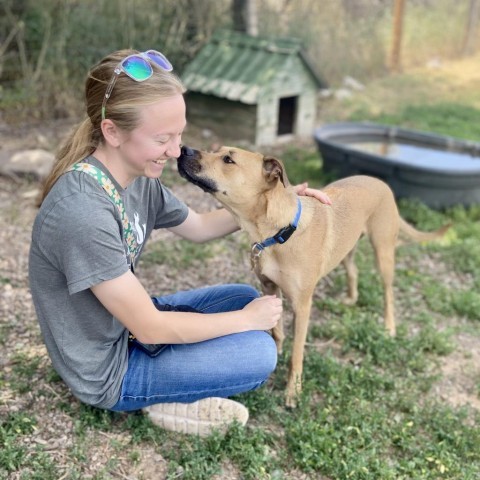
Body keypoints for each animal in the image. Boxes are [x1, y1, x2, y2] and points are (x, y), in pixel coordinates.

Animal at [177, 147, 450, 408]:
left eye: (228, 159)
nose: (184, 149)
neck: (277, 232)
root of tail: (380, 182)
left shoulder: (302, 306)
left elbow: (297, 354)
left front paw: (293, 392)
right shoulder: (269, 288)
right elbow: (277, 331)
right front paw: (276, 354)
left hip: (383, 252)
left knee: (388, 293)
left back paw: (389, 327)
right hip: (346, 249)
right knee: (354, 271)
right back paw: (351, 299)